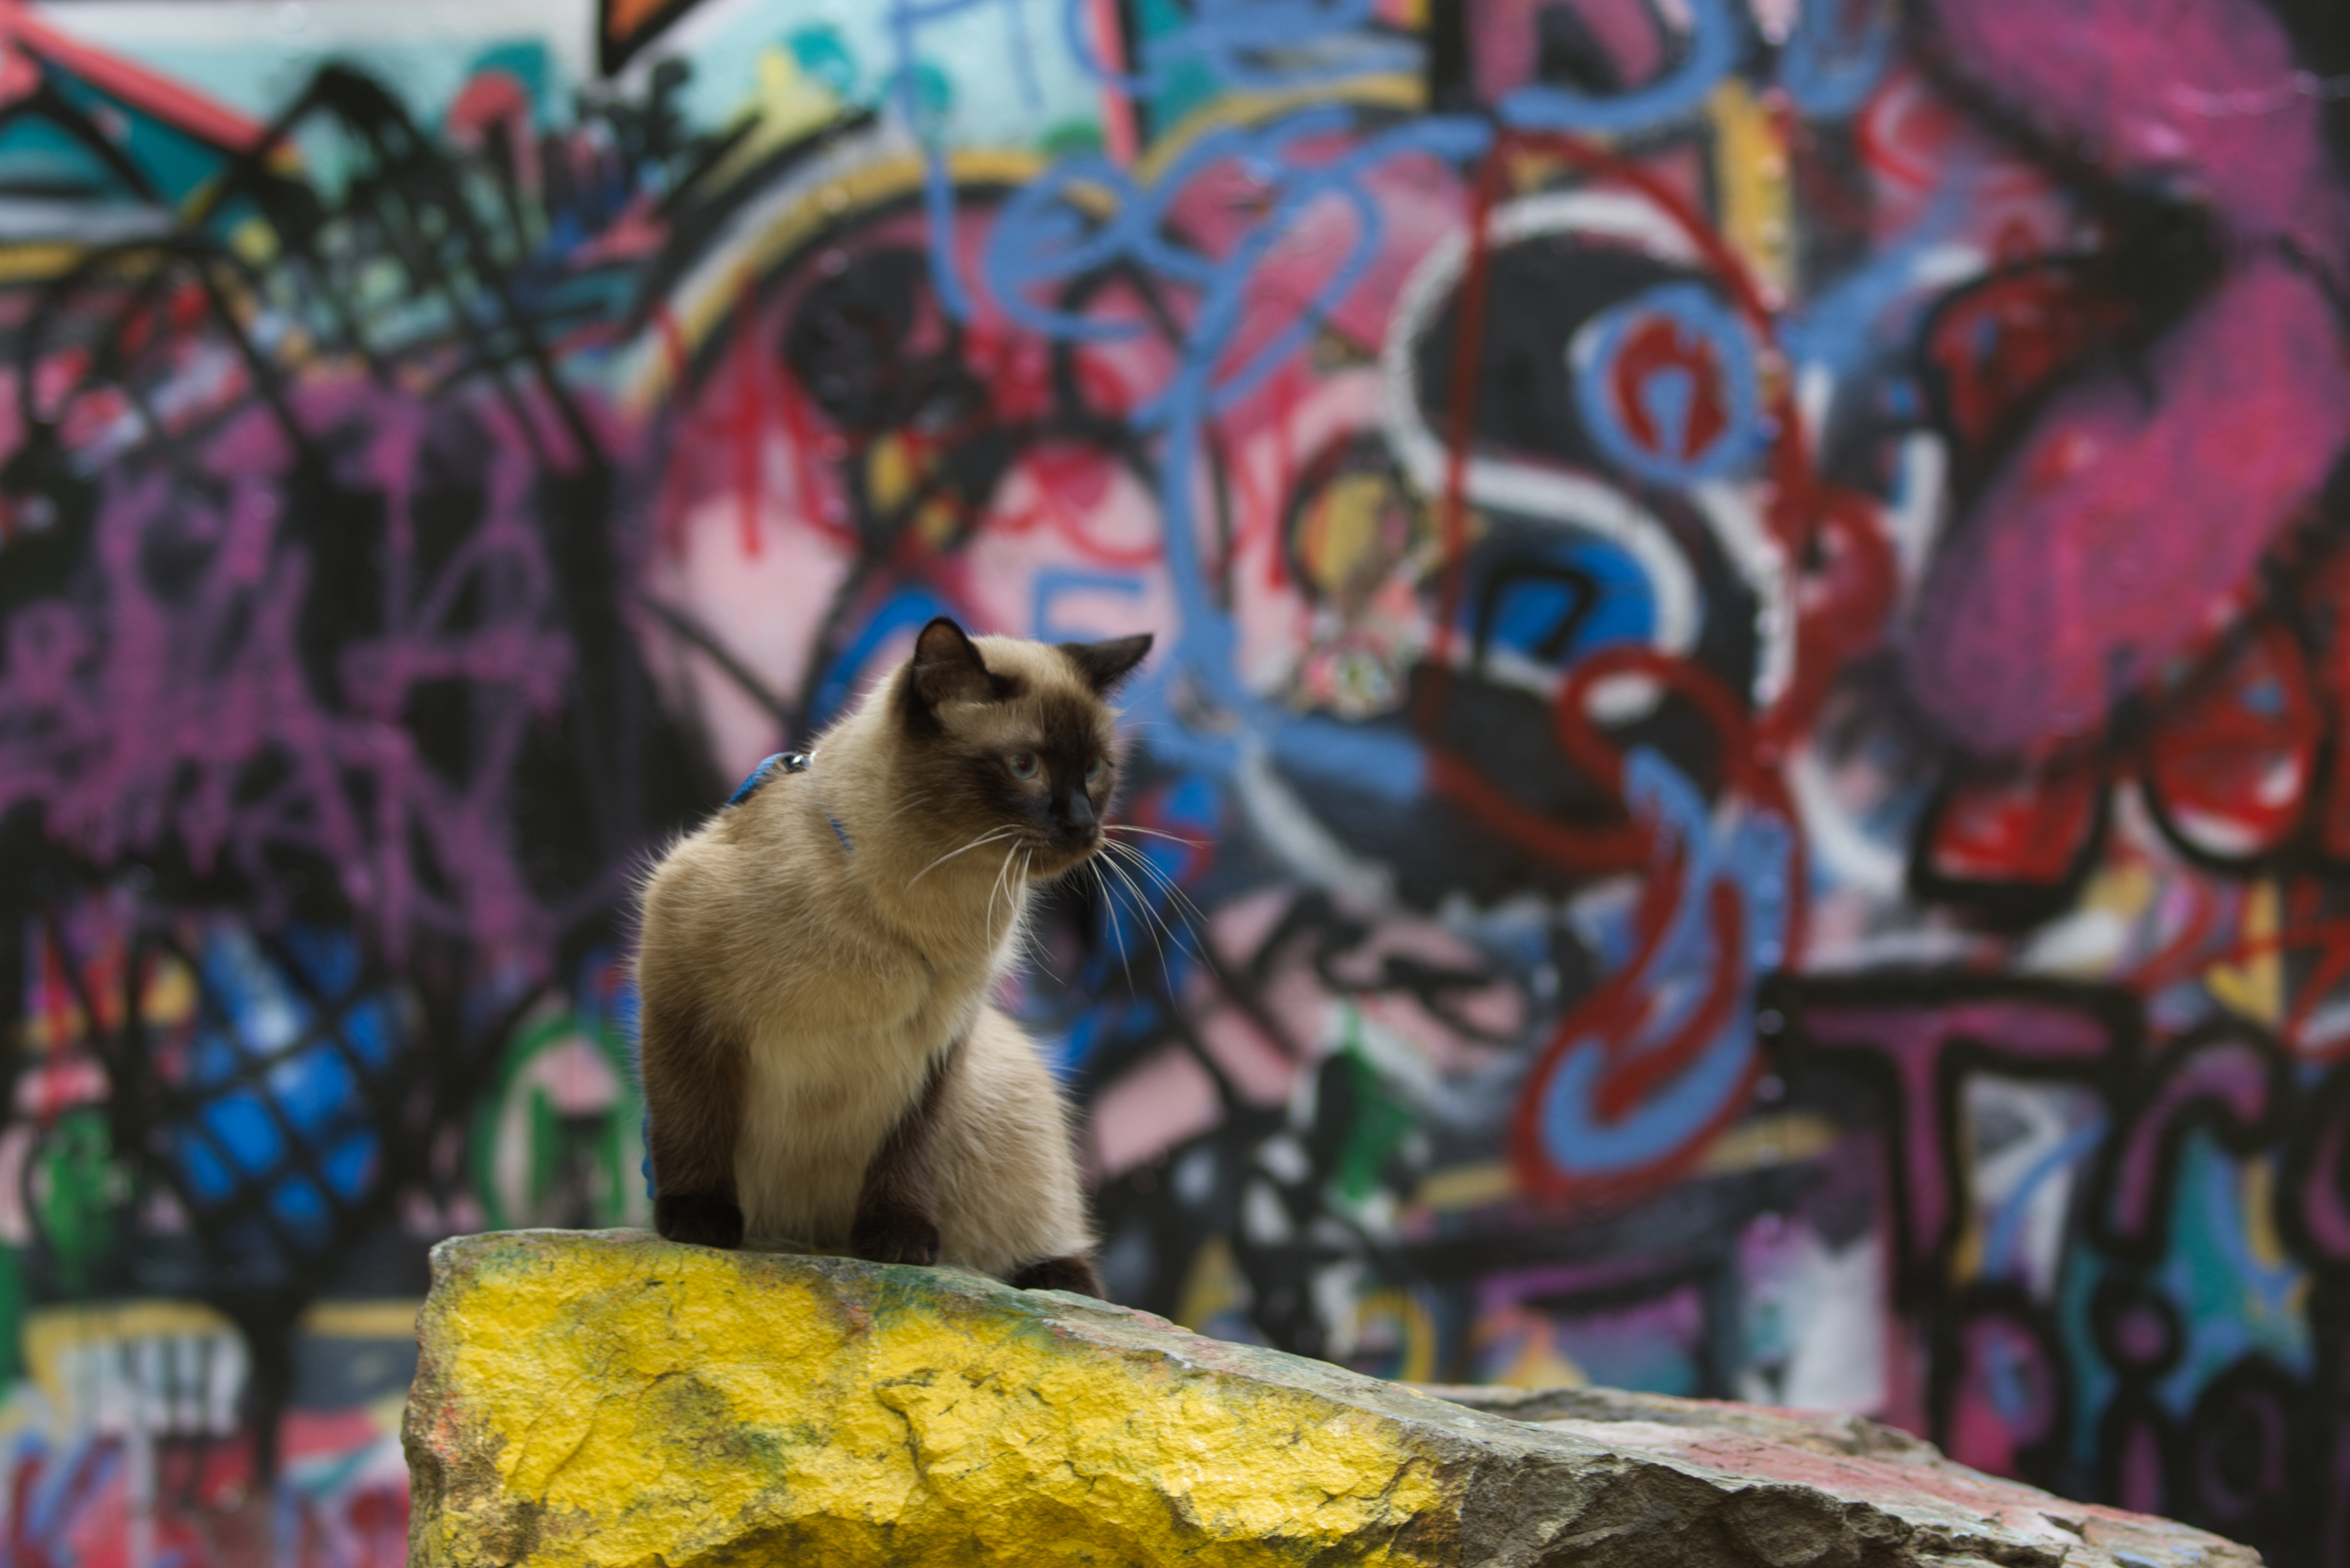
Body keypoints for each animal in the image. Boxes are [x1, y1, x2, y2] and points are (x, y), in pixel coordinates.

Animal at [634, 616, 1156, 1297]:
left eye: (1095, 769)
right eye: (1025, 766)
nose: (1083, 827)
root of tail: (808, 1235)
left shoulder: (934, 1049)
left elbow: (907, 1158)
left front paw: (898, 1246)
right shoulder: (685, 1005)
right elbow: (690, 1127)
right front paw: (699, 1223)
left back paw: (1057, 1279)